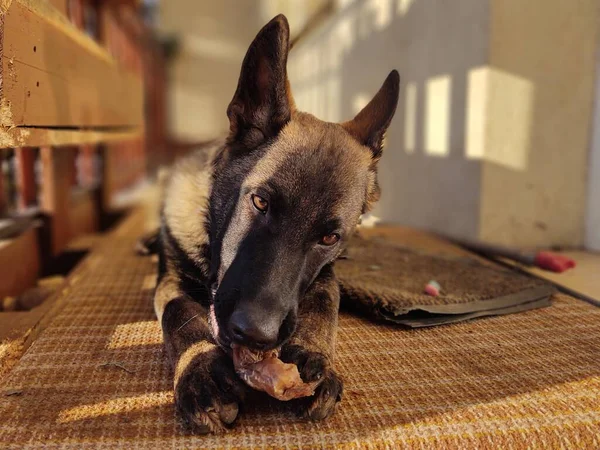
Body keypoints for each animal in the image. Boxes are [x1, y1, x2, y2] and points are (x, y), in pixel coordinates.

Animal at [152, 15, 400, 434]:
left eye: (329, 237)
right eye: (260, 202)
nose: (256, 334)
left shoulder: (326, 275)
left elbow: (324, 305)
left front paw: (308, 353)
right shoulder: (171, 280)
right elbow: (181, 314)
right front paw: (201, 369)